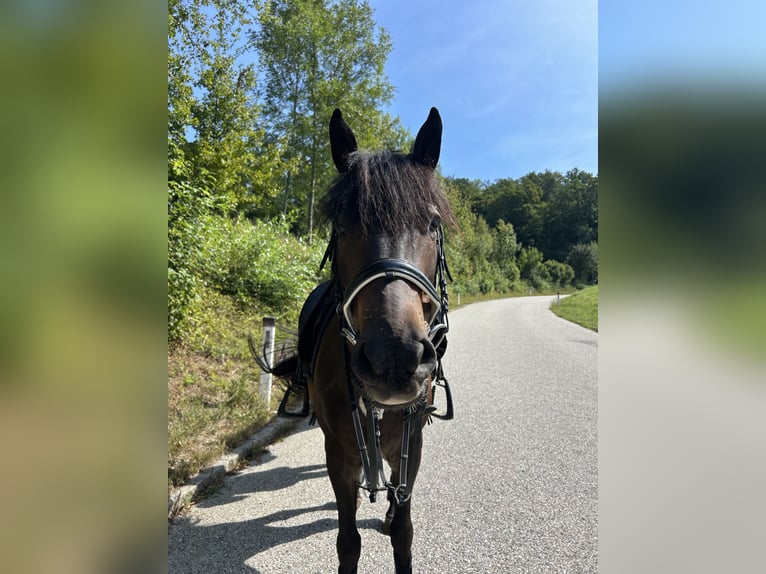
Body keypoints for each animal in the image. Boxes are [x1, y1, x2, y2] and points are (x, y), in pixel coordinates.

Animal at [264, 107, 455, 574]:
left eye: (433, 224)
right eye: (342, 226)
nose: (395, 359)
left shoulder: (412, 445)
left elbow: (403, 530)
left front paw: (393, 522)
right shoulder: (338, 453)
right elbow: (347, 540)